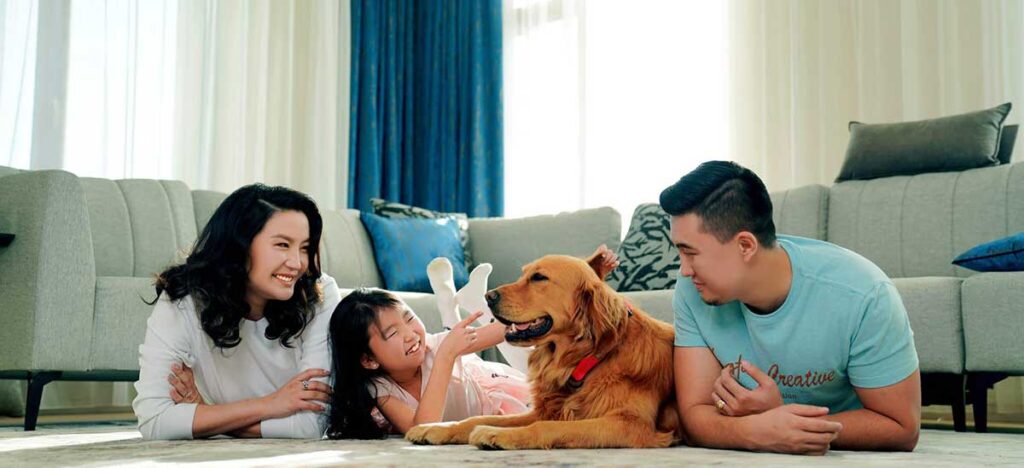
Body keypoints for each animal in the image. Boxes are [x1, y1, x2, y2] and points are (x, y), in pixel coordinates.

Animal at [401, 249, 679, 446]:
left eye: (539, 277)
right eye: (524, 274)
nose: (489, 297)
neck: (585, 361)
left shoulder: (630, 425)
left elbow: (546, 427)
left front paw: (498, 435)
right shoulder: (545, 410)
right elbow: (478, 418)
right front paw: (435, 428)